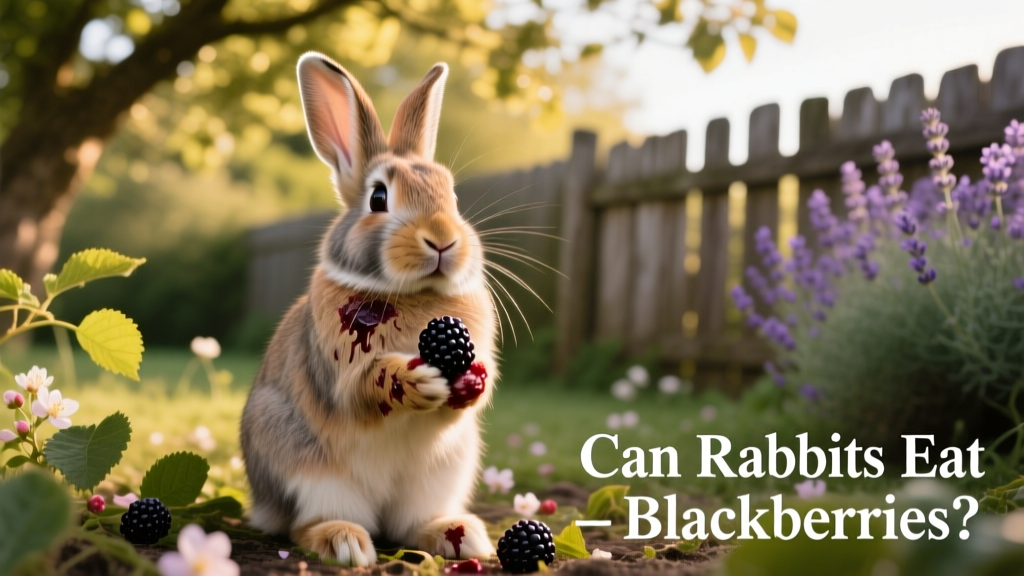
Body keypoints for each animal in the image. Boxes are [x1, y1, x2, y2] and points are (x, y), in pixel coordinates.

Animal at [240, 52, 498, 566]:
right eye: (379, 197)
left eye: (453, 196)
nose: (443, 239)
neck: (416, 295)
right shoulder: (341, 371)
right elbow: (363, 388)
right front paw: (415, 380)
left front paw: (469, 384)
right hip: (306, 466)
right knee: (306, 524)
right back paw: (345, 542)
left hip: (442, 474)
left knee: (409, 525)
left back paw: (458, 534)